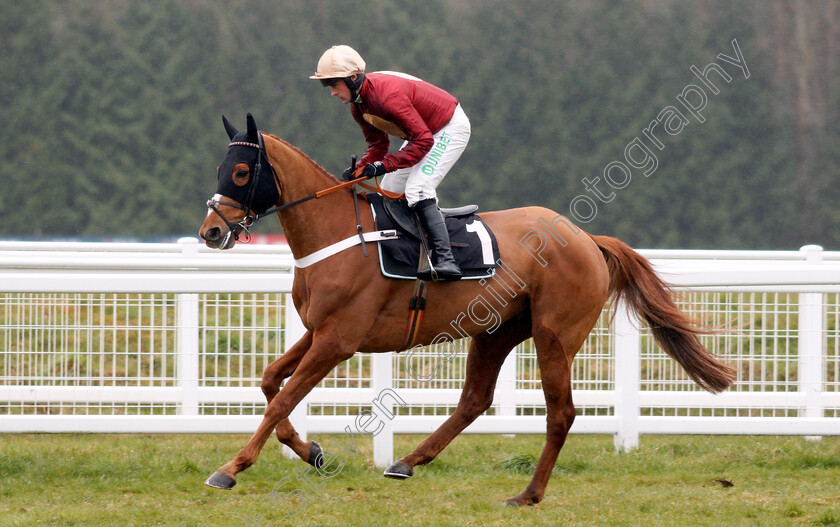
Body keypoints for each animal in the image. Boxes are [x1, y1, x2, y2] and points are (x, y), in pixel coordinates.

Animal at [197, 114, 736, 508]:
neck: (338, 235)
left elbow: (282, 399)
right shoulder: (318, 331)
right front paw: (313, 453)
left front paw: (230, 469)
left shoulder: (338, 340)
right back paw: (407, 461)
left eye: (241, 172)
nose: (211, 232)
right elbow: (271, 382)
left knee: (560, 413)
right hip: (495, 332)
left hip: (555, 335)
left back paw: (528, 494)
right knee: (474, 400)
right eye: (219, 169)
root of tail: (586, 238)